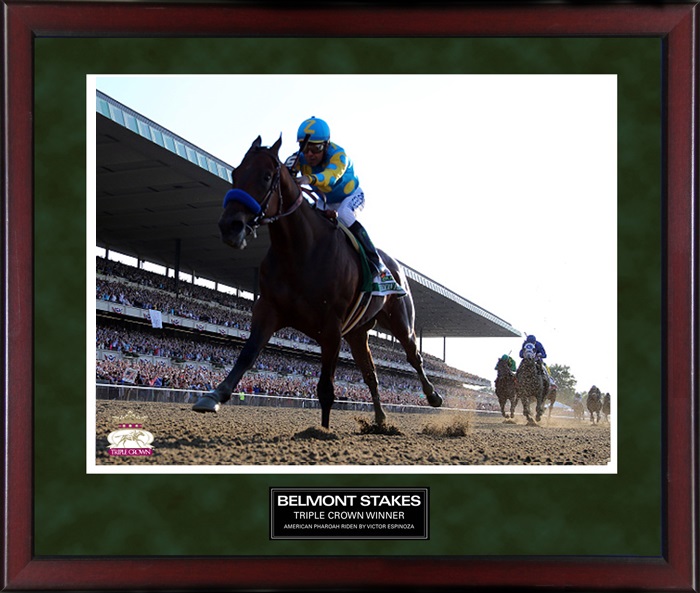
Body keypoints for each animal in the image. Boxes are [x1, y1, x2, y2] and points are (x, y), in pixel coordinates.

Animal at [191, 136, 442, 428]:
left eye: (266, 177)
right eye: (235, 173)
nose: (230, 226)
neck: (300, 250)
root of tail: (396, 265)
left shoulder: (331, 327)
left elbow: (325, 388)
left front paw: (322, 431)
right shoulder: (269, 309)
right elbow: (248, 353)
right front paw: (214, 395)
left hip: (401, 320)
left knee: (413, 355)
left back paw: (433, 396)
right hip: (357, 333)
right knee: (371, 374)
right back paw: (380, 420)